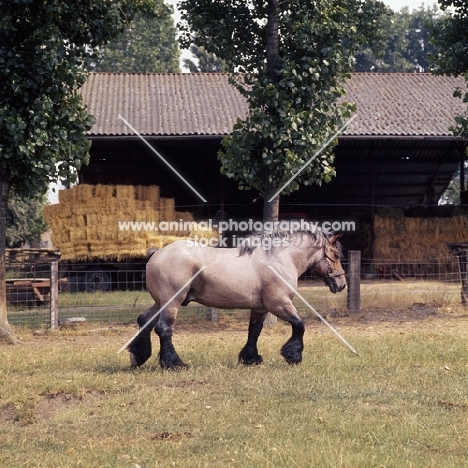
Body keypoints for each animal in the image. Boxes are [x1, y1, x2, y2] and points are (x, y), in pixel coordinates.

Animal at [128, 228, 348, 370]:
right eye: (336, 254)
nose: (342, 284)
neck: (278, 259)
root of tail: (157, 253)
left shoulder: (260, 308)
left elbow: (254, 331)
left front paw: (250, 359)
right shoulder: (280, 304)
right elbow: (300, 325)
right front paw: (293, 356)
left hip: (159, 303)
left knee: (144, 320)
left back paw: (138, 356)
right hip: (171, 303)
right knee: (163, 329)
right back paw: (174, 364)